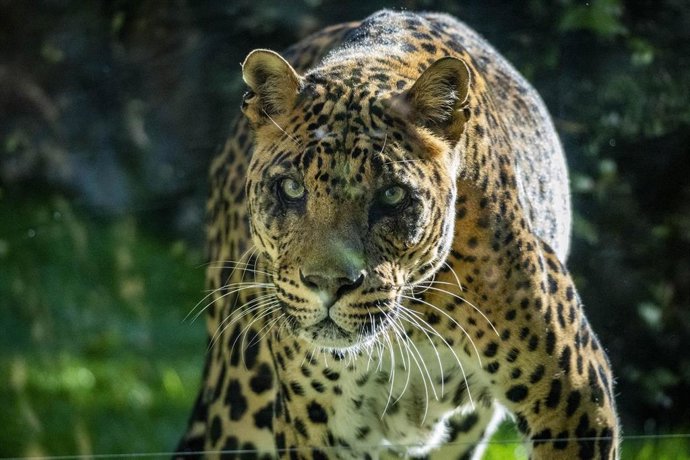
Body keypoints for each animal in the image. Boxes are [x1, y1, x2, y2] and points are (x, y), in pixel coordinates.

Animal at [176, 9, 620, 459]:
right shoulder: (311, 426)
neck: (408, 326)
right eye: (291, 188)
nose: (328, 283)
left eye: (391, 195)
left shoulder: (577, 403)